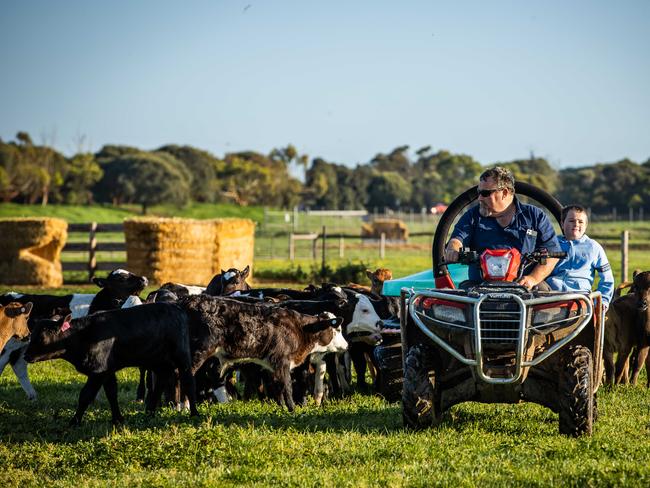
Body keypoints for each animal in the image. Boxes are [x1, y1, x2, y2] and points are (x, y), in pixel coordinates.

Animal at [24, 304, 197, 426]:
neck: (82, 335)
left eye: (42, 337)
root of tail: (177, 308)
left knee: (188, 381)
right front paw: (117, 419)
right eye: (31, 335)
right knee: (160, 382)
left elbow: (85, 396)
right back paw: (149, 412)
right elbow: (112, 393)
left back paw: (194, 414)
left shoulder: (98, 372)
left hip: (181, 356)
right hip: (157, 361)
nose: (26, 355)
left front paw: (74, 421)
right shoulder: (107, 371)